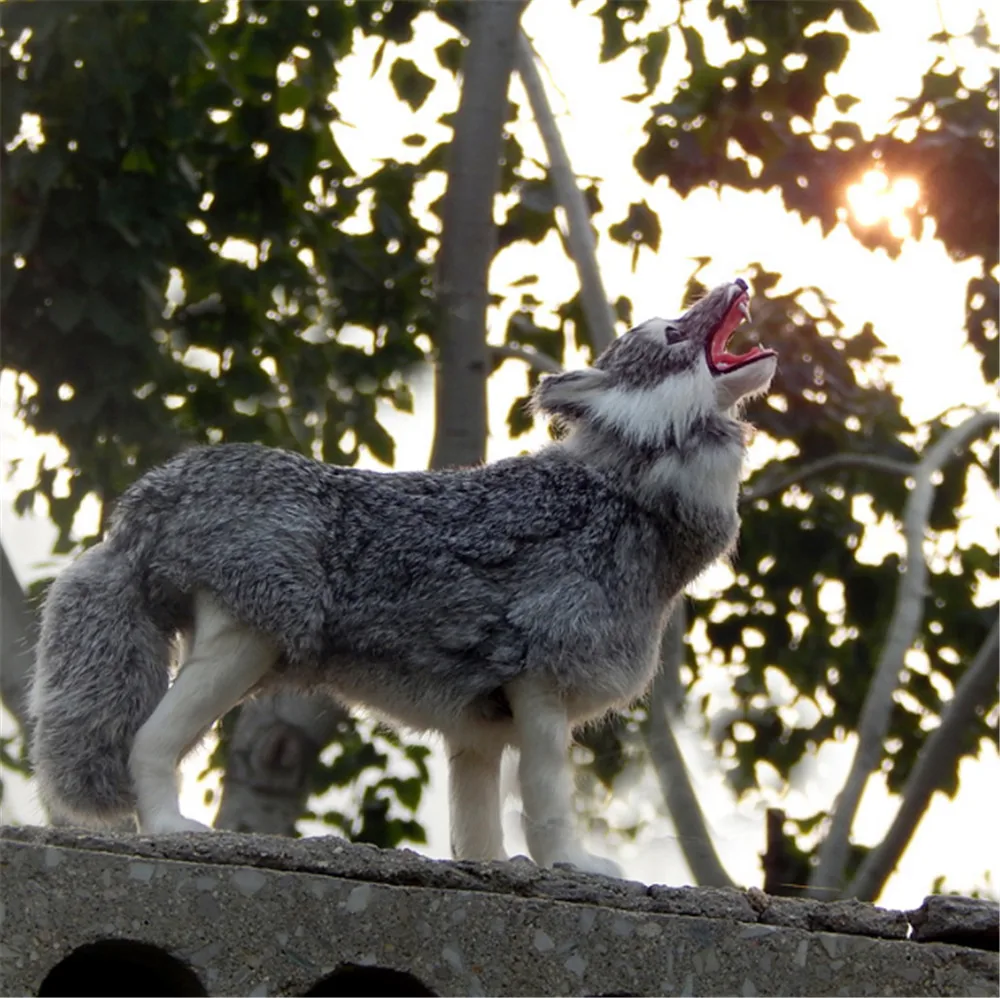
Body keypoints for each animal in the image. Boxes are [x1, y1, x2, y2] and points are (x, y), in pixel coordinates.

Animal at [29, 278, 775, 877]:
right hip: (241, 650)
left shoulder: (479, 729)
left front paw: (495, 872)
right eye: (672, 331)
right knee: (147, 744)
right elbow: (548, 802)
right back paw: (171, 832)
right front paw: (572, 866)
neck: (627, 491)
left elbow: (478, 833)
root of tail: (149, 497)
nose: (741, 280)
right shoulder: (540, 692)